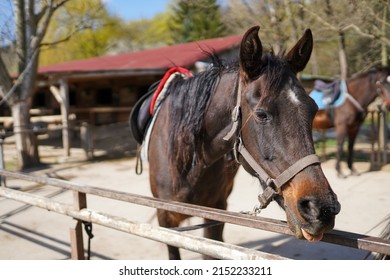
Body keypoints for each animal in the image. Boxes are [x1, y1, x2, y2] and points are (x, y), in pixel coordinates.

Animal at [145, 27, 340, 260]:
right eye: (261, 114)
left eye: (313, 110)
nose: (322, 209)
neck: (190, 163)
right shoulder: (164, 218)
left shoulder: (216, 212)